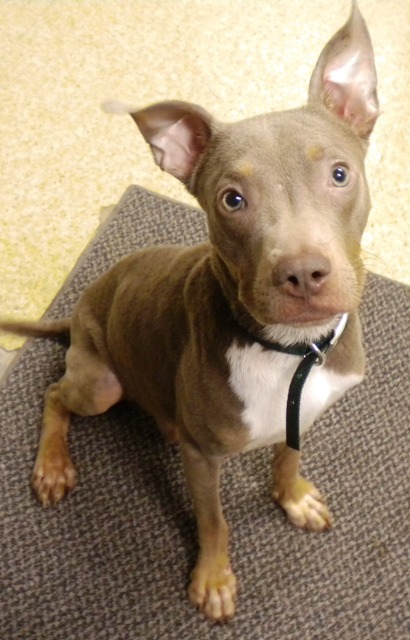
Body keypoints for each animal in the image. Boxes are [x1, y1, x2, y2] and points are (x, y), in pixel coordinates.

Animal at [0, 1, 378, 623]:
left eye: (340, 174)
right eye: (232, 200)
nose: (303, 275)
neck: (289, 351)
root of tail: (76, 314)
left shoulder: (301, 416)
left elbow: (286, 459)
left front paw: (293, 498)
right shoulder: (205, 462)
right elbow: (214, 520)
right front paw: (214, 579)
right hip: (100, 382)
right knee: (55, 395)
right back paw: (53, 466)